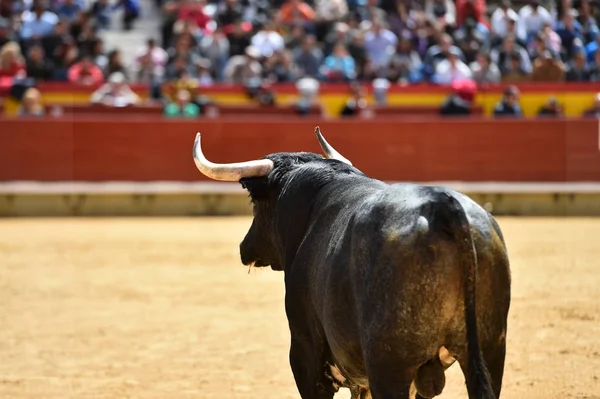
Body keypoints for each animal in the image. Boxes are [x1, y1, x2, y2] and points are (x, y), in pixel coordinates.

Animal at [193, 134, 510, 396]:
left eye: (255, 203)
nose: (244, 247)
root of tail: (442, 206)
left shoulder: (305, 354)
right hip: (491, 352)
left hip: (389, 364)